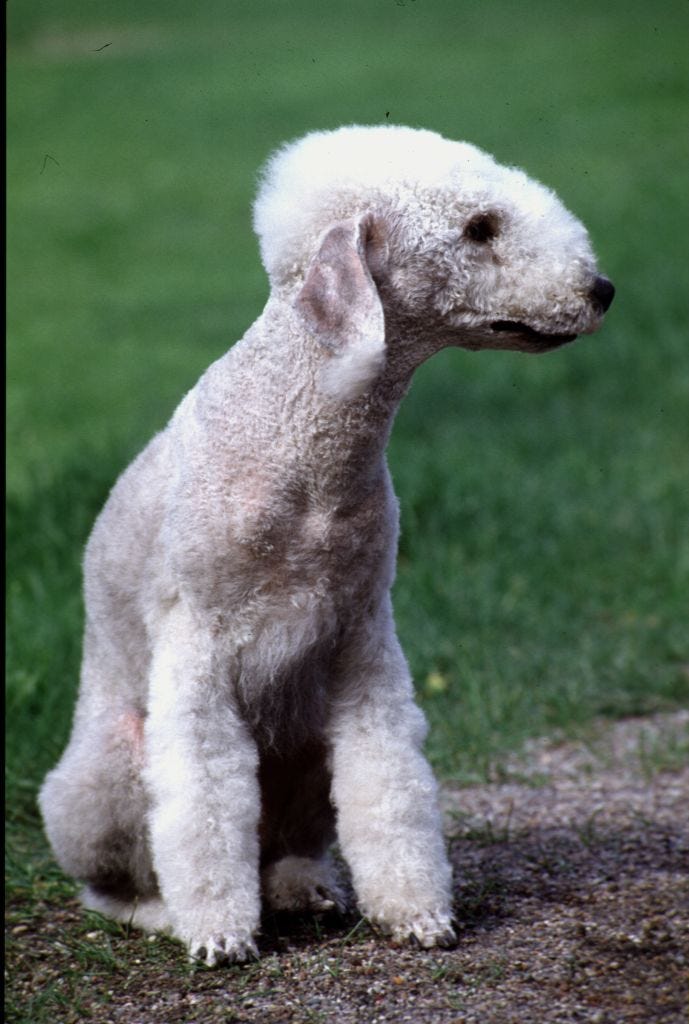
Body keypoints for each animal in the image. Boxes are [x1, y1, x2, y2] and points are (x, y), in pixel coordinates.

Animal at [38, 123, 614, 962]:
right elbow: (203, 801)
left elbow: (388, 784)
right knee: (111, 883)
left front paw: (416, 914)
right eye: (478, 229)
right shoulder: (197, 647)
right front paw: (219, 936)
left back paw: (304, 888)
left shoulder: (362, 639)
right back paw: (165, 914)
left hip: (304, 752)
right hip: (108, 772)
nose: (601, 290)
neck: (300, 439)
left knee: (285, 846)